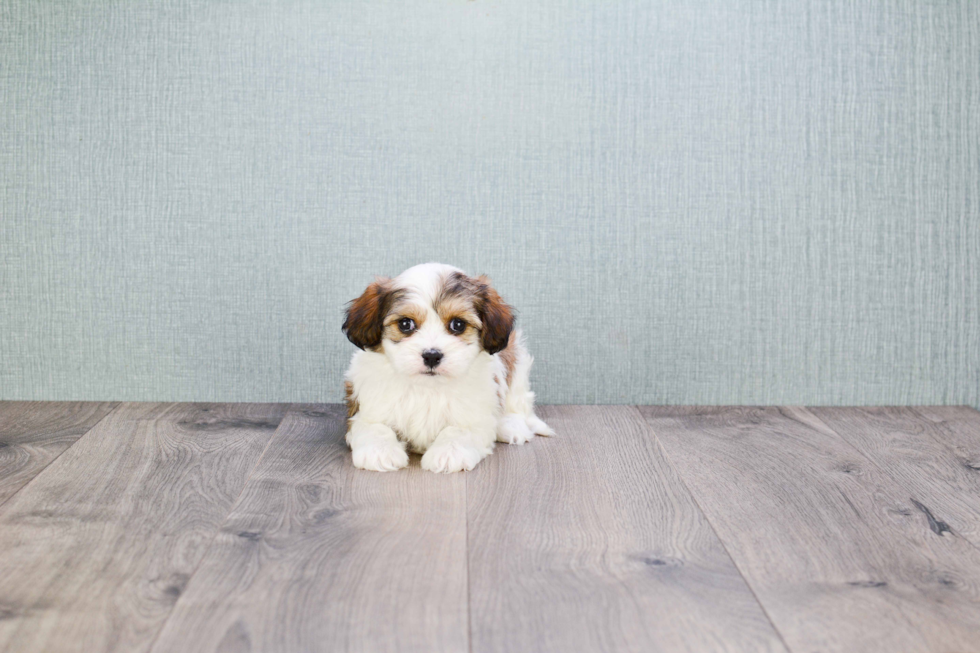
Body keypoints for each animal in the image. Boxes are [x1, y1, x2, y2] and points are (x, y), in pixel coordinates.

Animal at [342, 262, 560, 472]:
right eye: (405, 324)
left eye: (458, 324)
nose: (432, 355)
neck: (427, 388)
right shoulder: (366, 410)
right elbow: (374, 427)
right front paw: (379, 452)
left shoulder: (475, 414)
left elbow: (459, 429)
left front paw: (448, 453)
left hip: (516, 358)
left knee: (518, 401)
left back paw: (511, 426)